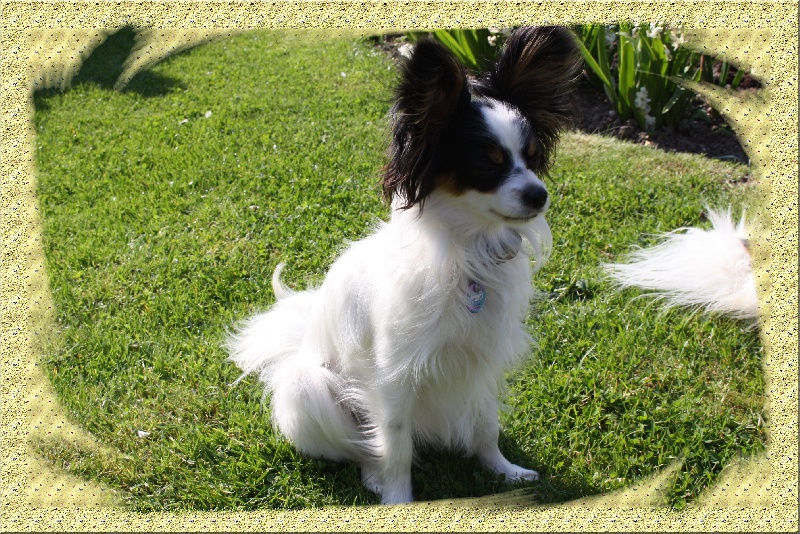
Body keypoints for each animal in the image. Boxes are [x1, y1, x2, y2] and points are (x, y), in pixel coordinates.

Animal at [228, 26, 582, 504]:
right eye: (486, 164)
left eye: (531, 157)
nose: (539, 195)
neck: (467, 252)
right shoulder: (394, 375)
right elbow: (395, 445)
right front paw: (398, 500)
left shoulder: (480, 361)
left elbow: (486, 425)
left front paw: (503, 471)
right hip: (310, 387)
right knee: (362, 446)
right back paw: (373, 476)